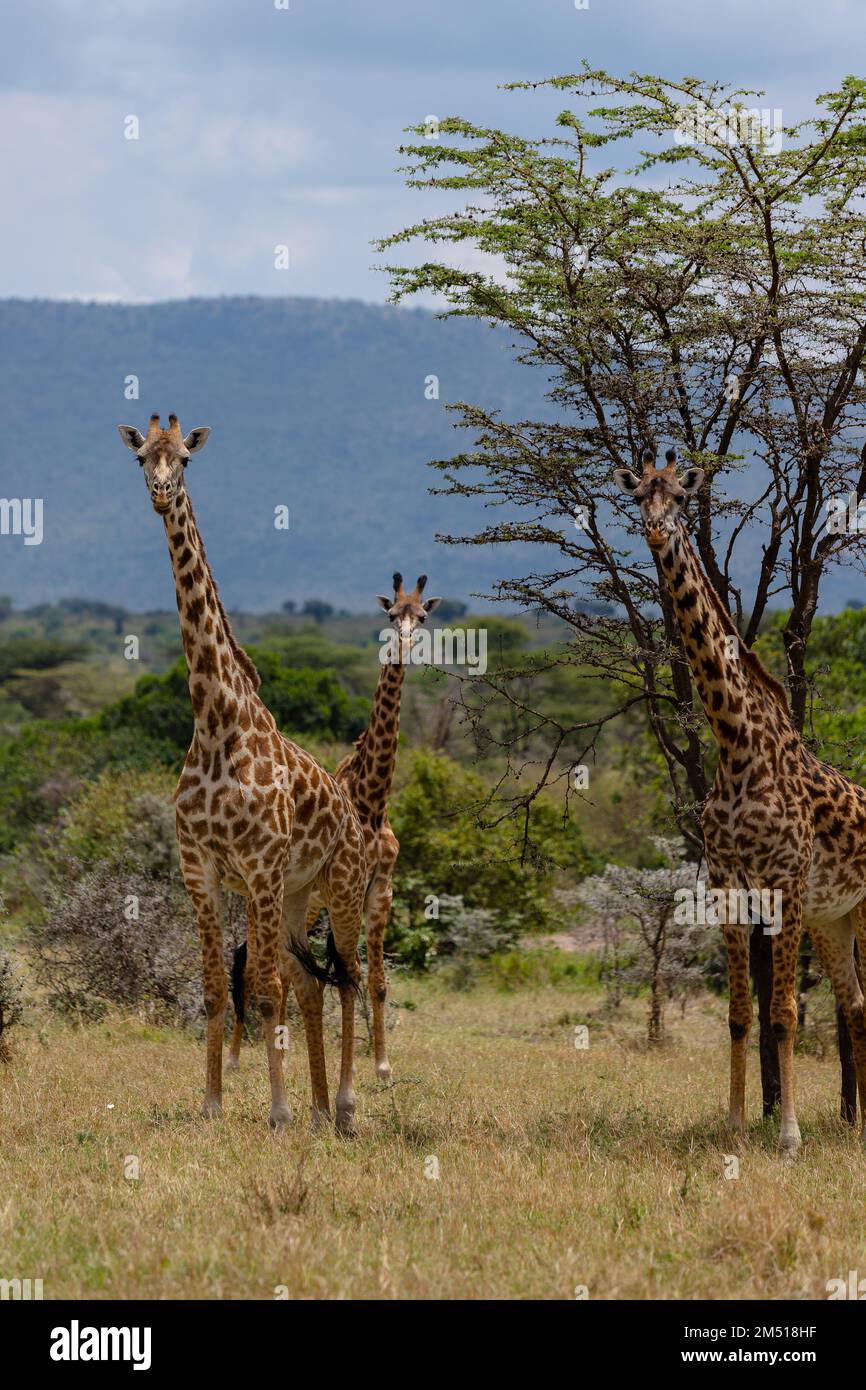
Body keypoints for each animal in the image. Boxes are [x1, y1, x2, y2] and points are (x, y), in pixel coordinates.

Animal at [117, 414, 367, 1134]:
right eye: (141, 458)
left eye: (185, 460)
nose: (160, 493)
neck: (215, 722)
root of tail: (353, 813)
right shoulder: (199, 867)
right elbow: (212, 992)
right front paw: (211, 1105)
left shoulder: (256, 865)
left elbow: (262, 990)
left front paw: (277, 1113)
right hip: (295, 895)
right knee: (312, 982)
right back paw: (319, 1109)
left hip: (339, 887)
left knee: (349, 977)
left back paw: (343, 1107)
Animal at [228, 572, 440, 1081]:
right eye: (391, 614)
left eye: (423, 616)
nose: (404, 642)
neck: (372, 800)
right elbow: (348, 971)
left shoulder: (381, 886)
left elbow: (377, 979)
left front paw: (382, 1066)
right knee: (250, 958)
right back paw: (238, 1057)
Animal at [615, 447, 866, 1157]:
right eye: (638, 495)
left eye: (680, 497)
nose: (655, 530)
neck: (734, 745)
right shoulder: (728, 879)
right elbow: (737, 1014)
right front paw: (731, 1125)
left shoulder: (785, 881)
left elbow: (782, 1014)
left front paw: (788, 1136)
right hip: (835, 918)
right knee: (856, 1004)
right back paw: (861, 1125)